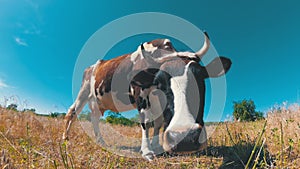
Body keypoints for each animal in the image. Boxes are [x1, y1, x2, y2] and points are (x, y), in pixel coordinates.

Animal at [63, 32, 212, 160]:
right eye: (162, 81)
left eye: (200, 77)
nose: (188, 137)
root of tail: (96, 64)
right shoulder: (140, 93)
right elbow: (146, 121)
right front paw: (147, 151)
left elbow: (158, 122)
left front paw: (156, 145)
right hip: (84, 92)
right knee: (73, 111)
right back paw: (65, 138)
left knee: (94, 118)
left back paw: (101, 142)